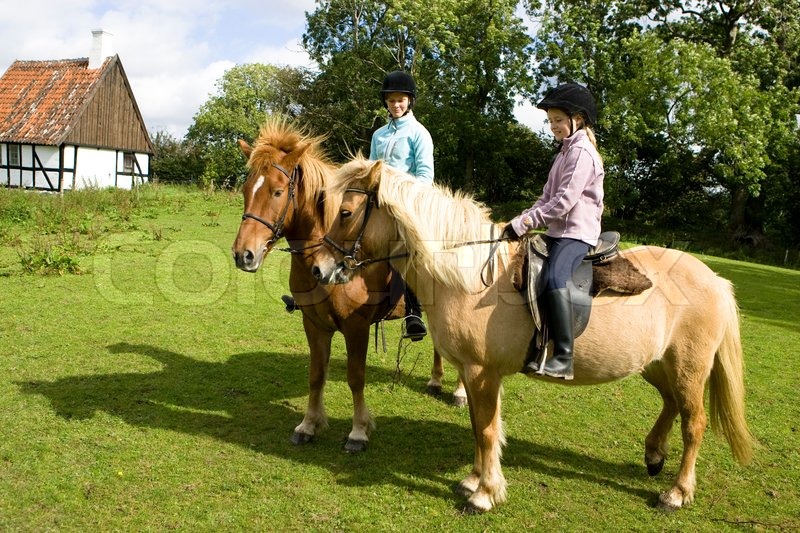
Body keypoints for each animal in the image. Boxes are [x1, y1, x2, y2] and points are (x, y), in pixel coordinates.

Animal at [231, 118, 466, 452]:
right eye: (246, 189)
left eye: (277, 192)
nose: (244, 254)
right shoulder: (314, 324)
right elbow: (316, 375)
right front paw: (308, 425)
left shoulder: (357, 328)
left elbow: (356, 377)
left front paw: (358, 432)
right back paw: (435, 380)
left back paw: (459, 392)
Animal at [310, 155, 752, 512]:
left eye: (346, 212)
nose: (318, 269)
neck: (471, 275)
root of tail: (714, 279)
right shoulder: (473, 373)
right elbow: (478, 426)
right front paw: (474, 480)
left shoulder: (482, 372)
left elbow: (487, 430)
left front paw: (485, 494)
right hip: (657, 365)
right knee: (671, 403)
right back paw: (654, 455)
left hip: (689, 367)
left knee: (694, 423)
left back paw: (677, 492)